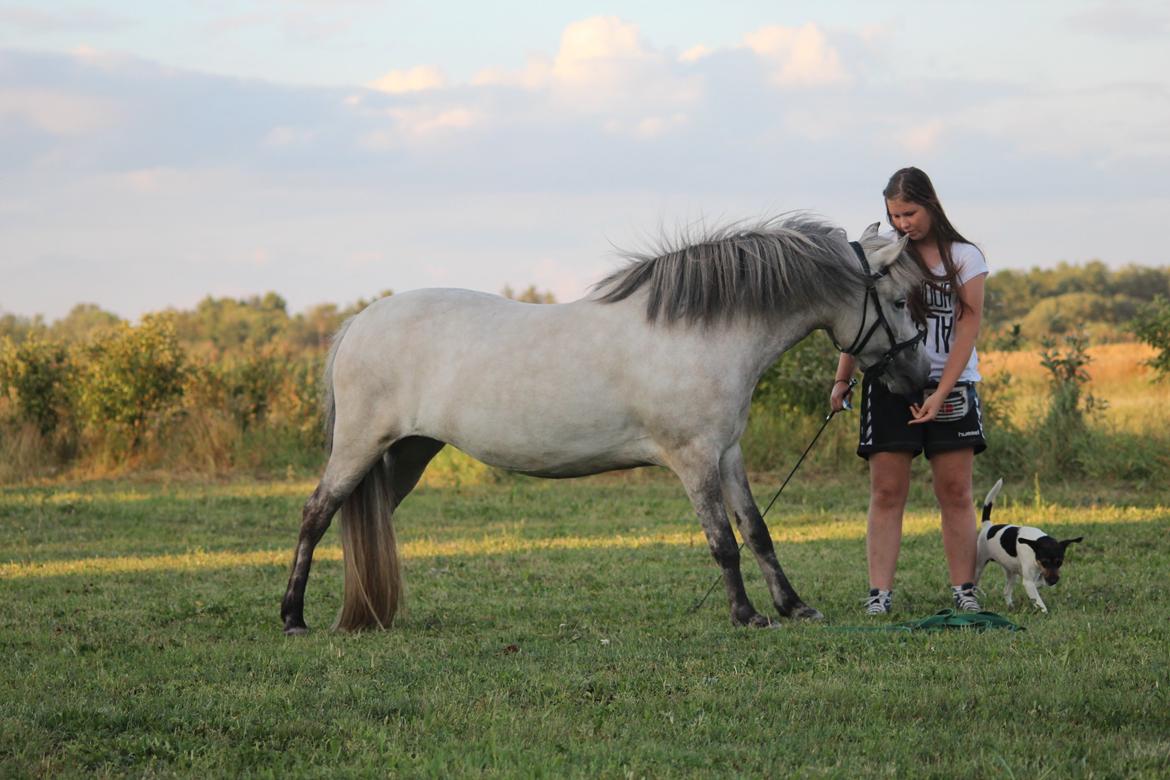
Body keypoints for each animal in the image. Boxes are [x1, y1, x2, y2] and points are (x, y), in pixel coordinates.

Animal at [278, 216, 926, 631]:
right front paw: (747, 616)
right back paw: (293, 617)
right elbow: (722, 541)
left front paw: (795, 608)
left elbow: (757, 531)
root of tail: (358, 323)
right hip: (361, 445)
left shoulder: (727, 453)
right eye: (897, 302)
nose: (919, 380)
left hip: (409, 451)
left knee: (366, 521)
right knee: (317, 514)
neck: (700, 332)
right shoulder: (694, 458)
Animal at [973, 479, 1081, 612]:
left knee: (1006, 591)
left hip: (1011, 572)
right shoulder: (1029, 581)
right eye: (1044, 562)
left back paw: (1010, 606)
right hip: (979, 566)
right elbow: (1038, 600)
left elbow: (1039, 583)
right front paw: (1044, 611)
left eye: (1059, 562)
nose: (1053, 581)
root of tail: (987, 526)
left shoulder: (1037, 575)